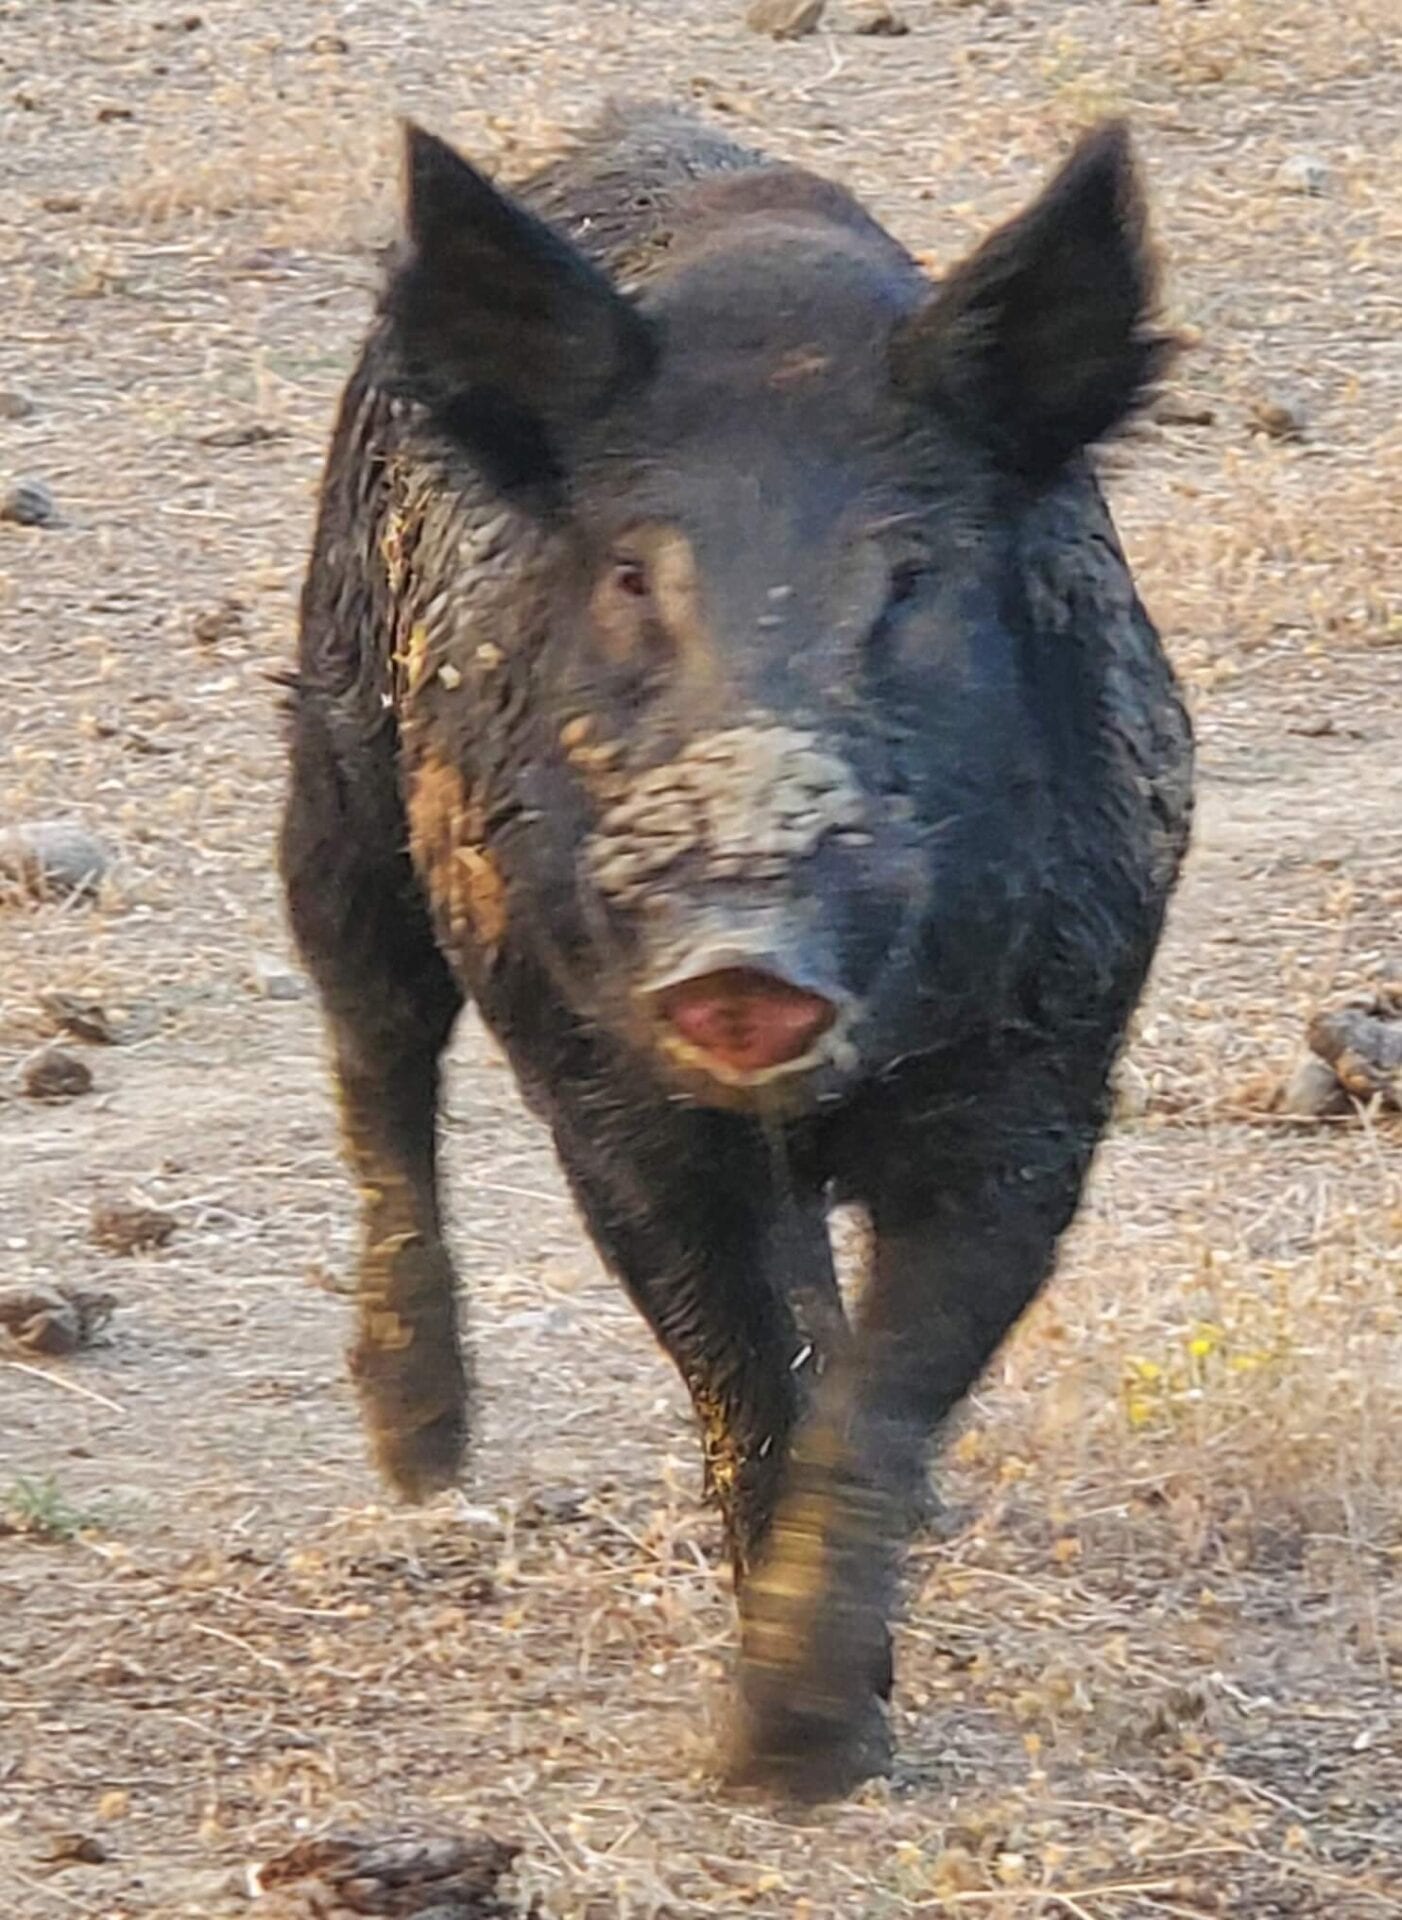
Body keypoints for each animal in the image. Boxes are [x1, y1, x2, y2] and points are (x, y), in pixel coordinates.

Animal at [279, 102, 1193, 1799]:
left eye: (909, 578)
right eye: (635, 574)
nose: (740, 947)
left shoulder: (1046, 1079)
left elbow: (890, 1380)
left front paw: (810, 1742)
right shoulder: (607, 1089)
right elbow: (733, 1354)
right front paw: (780, 1769)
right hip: (335, 745)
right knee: (373, 1037)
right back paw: (419, 1456)